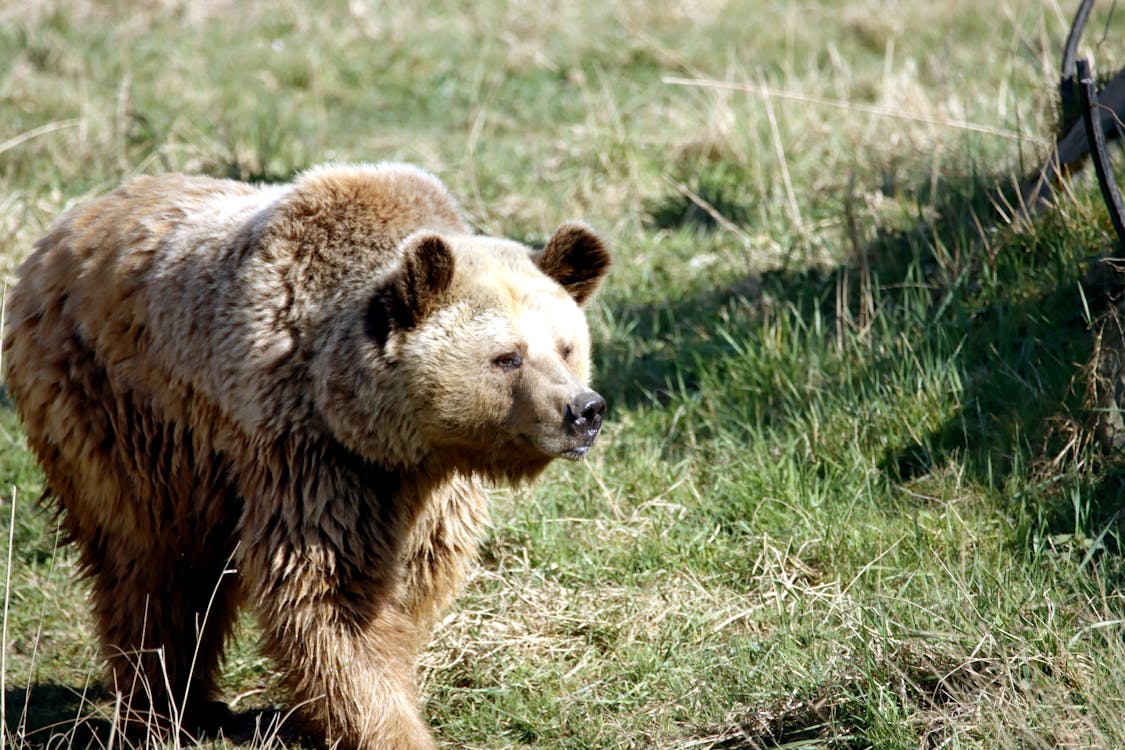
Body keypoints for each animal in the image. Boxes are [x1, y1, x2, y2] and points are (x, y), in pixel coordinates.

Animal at [4, 164, 612, 750]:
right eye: (507, 357)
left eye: (566, 347)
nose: (584, 410)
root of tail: (63, 227)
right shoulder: (311, 452)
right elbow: (327, 592)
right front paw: (390, 727)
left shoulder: (423, 489)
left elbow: (412, 582)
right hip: (119, 409)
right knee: (149, 559)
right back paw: (163, 708)